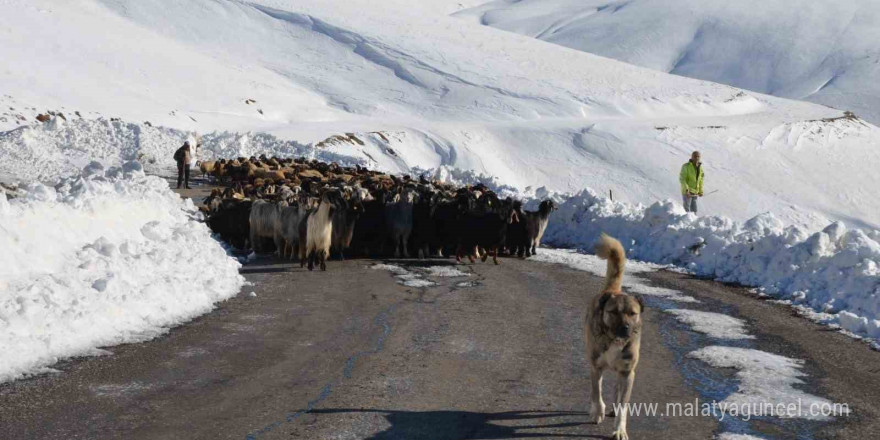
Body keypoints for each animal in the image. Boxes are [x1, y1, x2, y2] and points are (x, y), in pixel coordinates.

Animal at [588, 235, 644, 438]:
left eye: (632, 313)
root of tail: (612, 290)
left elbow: (623, 404)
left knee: (617, 389)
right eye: (613, 312)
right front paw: (598, 412)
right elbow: (596, 391)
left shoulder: (628, 371)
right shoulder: (596, 365)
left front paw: (619, 429)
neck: (614, 340)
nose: (625, 327)